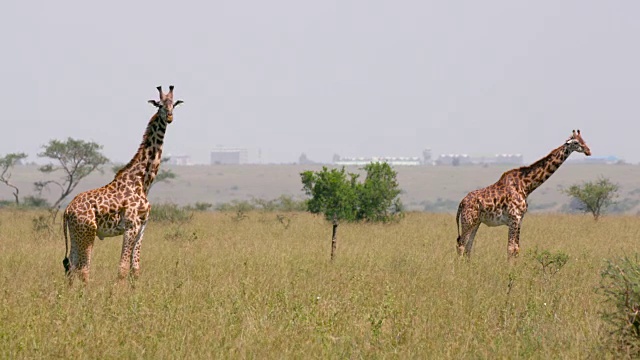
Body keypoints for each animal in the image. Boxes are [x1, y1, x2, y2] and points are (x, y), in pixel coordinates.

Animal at [62, 86, 184, 282]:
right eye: (160, 105)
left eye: (174, 105)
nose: (170, 117)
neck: (142, 181)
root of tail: (67, 211)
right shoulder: (131, 226)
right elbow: (123, 269)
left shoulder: (143, 226)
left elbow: (135, 269)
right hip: (87, 233)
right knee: (83, 269)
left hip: (75, 234)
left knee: (71, 268)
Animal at [456, 129, 592, 258]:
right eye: (576, 142)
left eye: (583, 140)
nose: (588, 151)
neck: (526, 186)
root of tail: (461, 203)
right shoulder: (514, 218)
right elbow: (511, 249)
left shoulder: (520, 219)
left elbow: (516, 249)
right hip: (468, 221)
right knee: (461, 245)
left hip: (476, 222)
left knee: (468, 246)